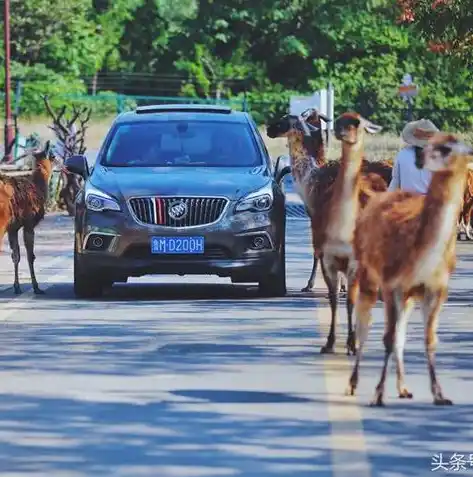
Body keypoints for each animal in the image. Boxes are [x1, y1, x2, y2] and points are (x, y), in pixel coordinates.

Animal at [0, 139, 56, 292]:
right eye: (53, 155)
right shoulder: (29, 221)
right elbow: (30, 256)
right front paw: (36, 287)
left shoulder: (13, 227)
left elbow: (16, 255)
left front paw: (17, 287)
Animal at [344, 133, 472, 406]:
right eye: (436, 144)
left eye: (450, 146)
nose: (421, 160)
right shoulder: (391, 283)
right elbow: (388, 337)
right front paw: (377, 394)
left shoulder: (435, 289)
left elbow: (428, 339)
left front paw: (439, 394)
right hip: (368, 275)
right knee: (365, 325)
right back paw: (353, 383)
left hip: (409, 295)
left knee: (401, 333)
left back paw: (403, 387)